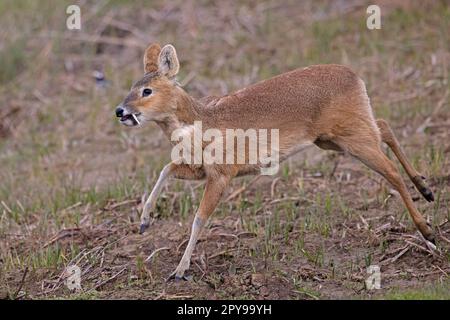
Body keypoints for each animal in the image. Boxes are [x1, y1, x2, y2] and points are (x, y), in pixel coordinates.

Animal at [116, 43, 436, 280]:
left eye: (147, 90)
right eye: (132, 86)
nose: (120, 111)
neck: (202, 121)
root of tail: (355, 76)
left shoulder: (222, 172)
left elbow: (199, 219)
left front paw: (180, 270)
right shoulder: (201, 170)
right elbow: (165, 169)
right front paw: (144, 221)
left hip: (351, 136)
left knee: (391, 171)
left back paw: (428, 231)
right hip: (335, 137)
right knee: (384, 126)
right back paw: (426, 189)